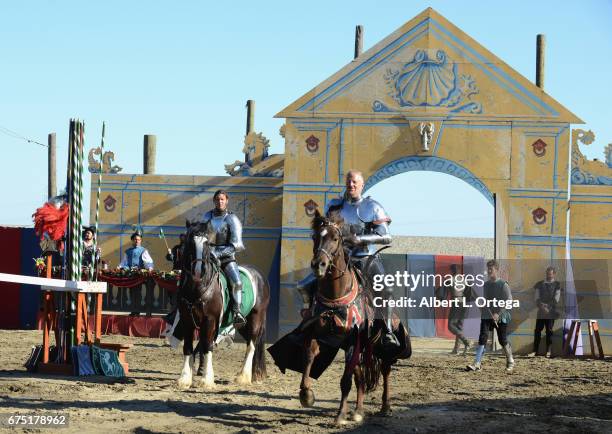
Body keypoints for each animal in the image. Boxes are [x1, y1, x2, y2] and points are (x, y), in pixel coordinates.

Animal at [176, 222, 268, 388]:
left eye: (207, 244)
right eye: (190, 242)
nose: (198, 271)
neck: (198, 287)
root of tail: (259, 276)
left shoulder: (210, 320)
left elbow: (207, 345)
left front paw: (206, 379)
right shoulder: (187, 319)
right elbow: (188, 347)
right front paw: (184, 378)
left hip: (256, 319)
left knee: (252, 344)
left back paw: (243, 376)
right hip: (243, 325)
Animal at [302, 209, 412, 424]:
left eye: (335, 238)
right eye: (315, 236)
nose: (318, 265)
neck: (335, 296)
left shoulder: (353, 339)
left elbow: (345, 380)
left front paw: (340, 415)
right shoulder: (317, 333)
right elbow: (309, 357)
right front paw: (306, 395)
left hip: (381, 349)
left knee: (385, 371)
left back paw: (385, 407)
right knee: (360, 376)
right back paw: (358, 411)